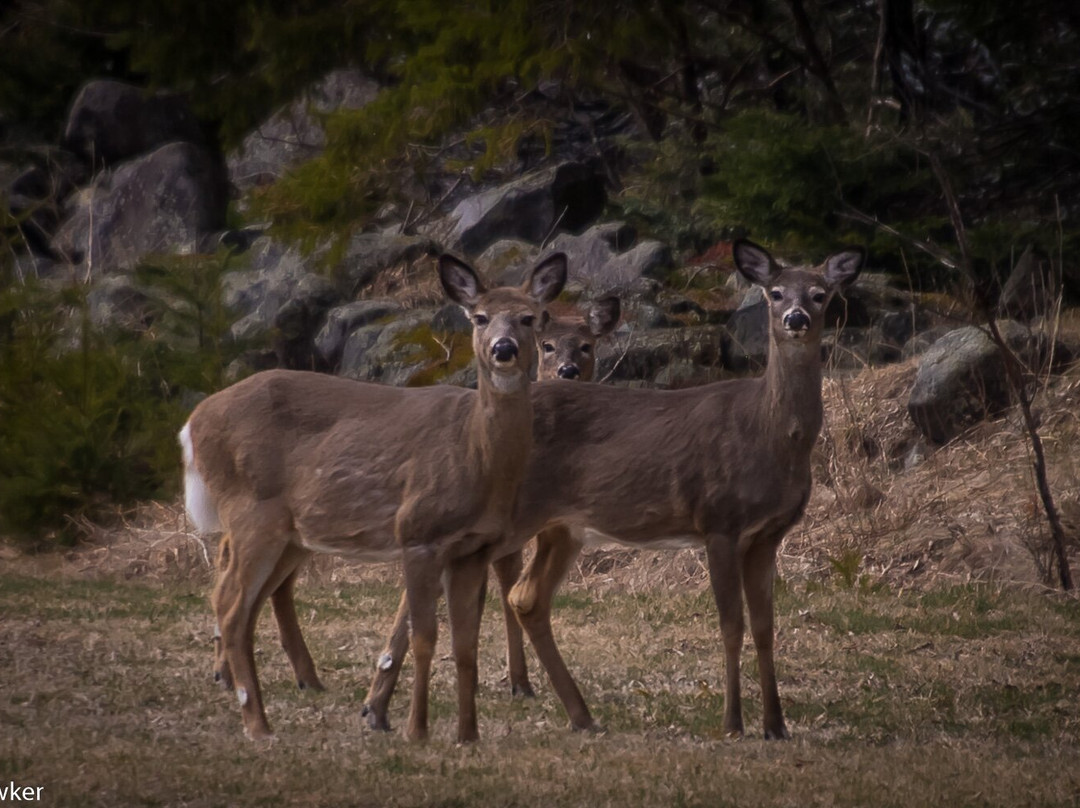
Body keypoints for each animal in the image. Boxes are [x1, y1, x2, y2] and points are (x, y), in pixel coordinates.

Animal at [179, 252, 567, 742]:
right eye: (479, 317)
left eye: (529, 318)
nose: (503, 349)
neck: (473, 451)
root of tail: (192, 422)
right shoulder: (417, 532)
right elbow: (425, 639)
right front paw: (416, 730)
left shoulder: (473, 548)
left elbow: (466, 645)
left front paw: (467, 735)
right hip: (252, 511)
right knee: (229, 605)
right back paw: (258, 724)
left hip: (289, 533)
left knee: (244, 604)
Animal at [362, 238, 864, 740]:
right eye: (774, 293)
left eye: (819, 294)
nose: (795, 318)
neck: (768, 431)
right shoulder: (718, 519)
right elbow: (731, 625)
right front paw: (733, 724)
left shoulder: (768, 534)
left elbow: (764, 627)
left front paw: (776, 725)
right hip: (509, 517)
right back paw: (380, 708)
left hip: (563, 527)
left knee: (525, 597)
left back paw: (577, 715)